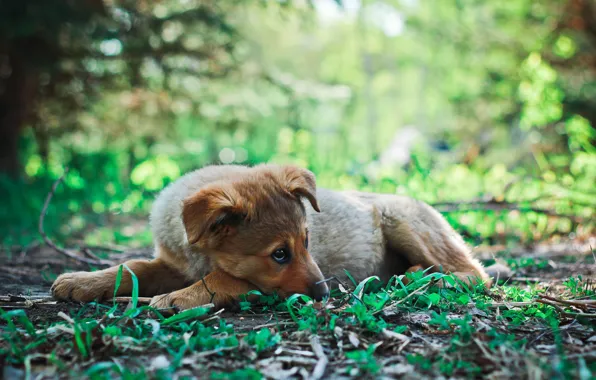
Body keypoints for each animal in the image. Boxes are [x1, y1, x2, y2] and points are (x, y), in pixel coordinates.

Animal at [51, 165, 508, 310]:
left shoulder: (246, 281)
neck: (198, 254)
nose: (325, 292)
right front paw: (83, 281)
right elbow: (132, 267)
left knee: (474, 274)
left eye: (308, 241)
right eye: (280, 254)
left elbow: (222, 278)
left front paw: (179, 298)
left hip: (404, 221)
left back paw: (417, 277)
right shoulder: (169, 263)